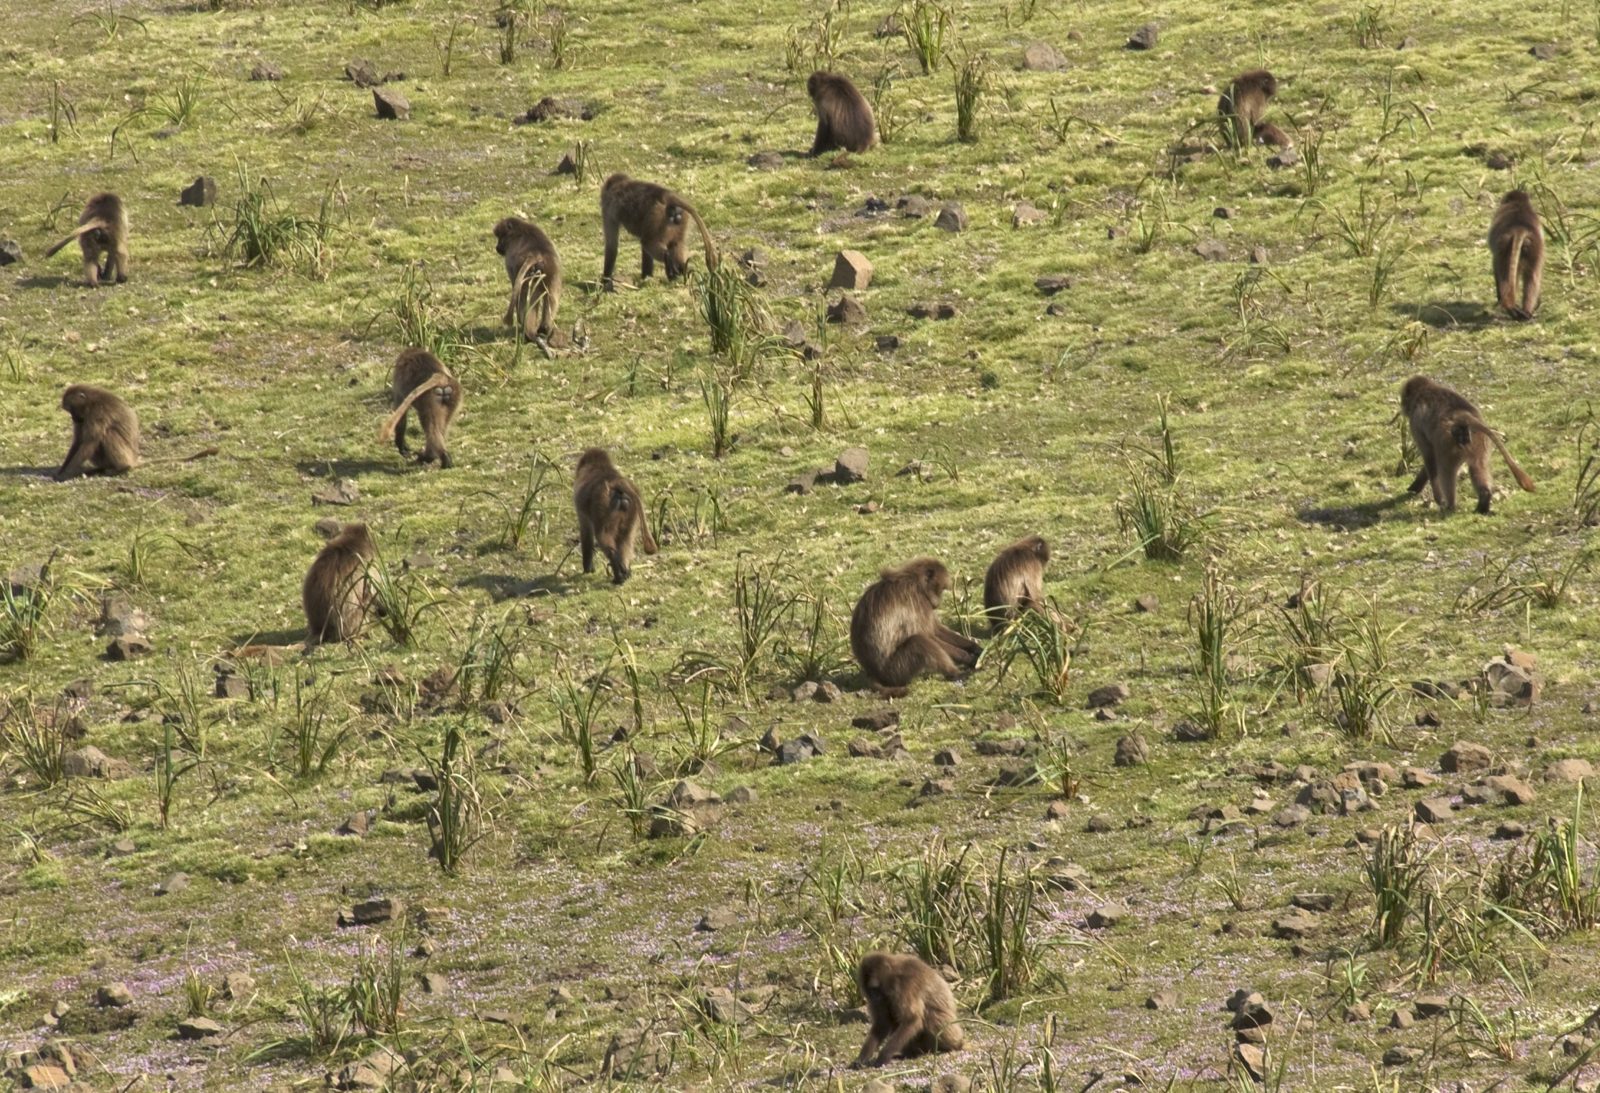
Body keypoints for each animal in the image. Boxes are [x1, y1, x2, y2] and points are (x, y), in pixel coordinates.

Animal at [573, 448, 658, 584]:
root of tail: (616, 481)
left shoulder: (583, 514)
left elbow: (587, 536)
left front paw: (588, 569)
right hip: (631, 511)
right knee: (625, 542)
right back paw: (625, 572)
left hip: (605, 509)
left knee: (606, 541)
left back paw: (618, 575)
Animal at [849, 558, 982, 697]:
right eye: (941, 590)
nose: (938, 603)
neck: (915, 582)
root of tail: (873, 673)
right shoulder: (918, 601)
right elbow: (929, 635)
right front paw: (969, 658)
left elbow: (936, 630)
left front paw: (977, 649)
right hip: (895, 670)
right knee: (919, 642)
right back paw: (955, 674)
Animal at [1400, 375, 1535, 515]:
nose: (1402, 405)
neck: (1423, 392)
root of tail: (1465, 416)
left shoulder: (1416, 423)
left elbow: (1429, 457)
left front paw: (1436, 498)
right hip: (1478, 440)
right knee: (1477, 465)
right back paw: (1484, 501)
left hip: (1448, 443)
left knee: (1446, 470)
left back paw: (1450, 506)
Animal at [1489, 190, 1543, 321]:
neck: (1518, 204)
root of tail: (1520, 227)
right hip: (1534, 247)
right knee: (1532, 276)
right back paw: (1527, 312)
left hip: (1504, 245)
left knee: (1505, 274)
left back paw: (1509, 307)